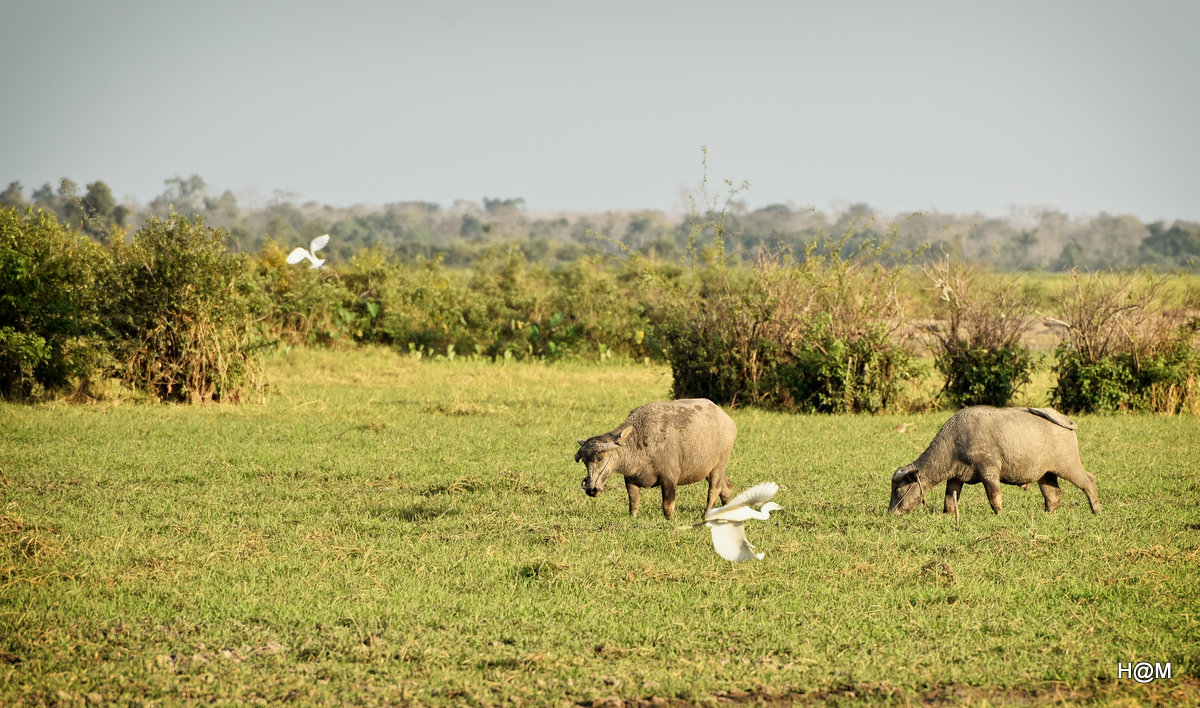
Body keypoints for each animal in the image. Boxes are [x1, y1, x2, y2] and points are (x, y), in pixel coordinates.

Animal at [575, 398, 737, 520]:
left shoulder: (669, 479)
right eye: (585, 461)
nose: (591, 489)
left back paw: (706, 514)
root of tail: (728, 421)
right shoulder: (630, 480)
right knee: (727, 487)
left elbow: (668, 506)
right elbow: (633, 503)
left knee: (714, 490)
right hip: (708, 469)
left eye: (599, 458)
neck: (640, 440)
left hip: (719, 466)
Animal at [888, 406, 1101, 515]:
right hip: (1046, 473)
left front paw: (999, 515)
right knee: (1053, 495)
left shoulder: (989, 471)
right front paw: (947, 515)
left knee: (1089, 480)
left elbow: (994, 497)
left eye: (898, 489)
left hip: (1069, 466)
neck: (954, 442)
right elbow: (949, 500)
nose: (891, 513)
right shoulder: (955, 478)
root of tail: (1063, 419)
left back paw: (1096, 510)